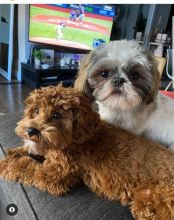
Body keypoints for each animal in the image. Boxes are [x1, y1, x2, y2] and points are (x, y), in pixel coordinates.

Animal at [0, 86, 174, 220]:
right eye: (36, 110)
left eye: (57, 115)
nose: (31, 131)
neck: (77, 139)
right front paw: (15, 151)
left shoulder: (53, 174)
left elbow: (26, 167)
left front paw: (6, 164)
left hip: (150, 202)